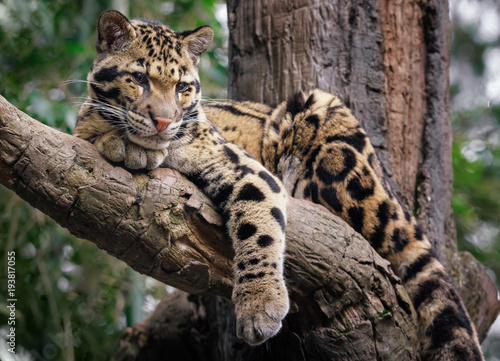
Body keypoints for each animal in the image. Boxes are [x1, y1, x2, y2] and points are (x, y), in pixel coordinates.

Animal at [75, 9, 484, 358]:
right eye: (139, 79)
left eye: (182, 88)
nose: (163, 121)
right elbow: (90, 125)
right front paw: (117, 140)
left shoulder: (244, 167)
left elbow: (258, 228)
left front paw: (260, 305)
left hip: (321, 114)